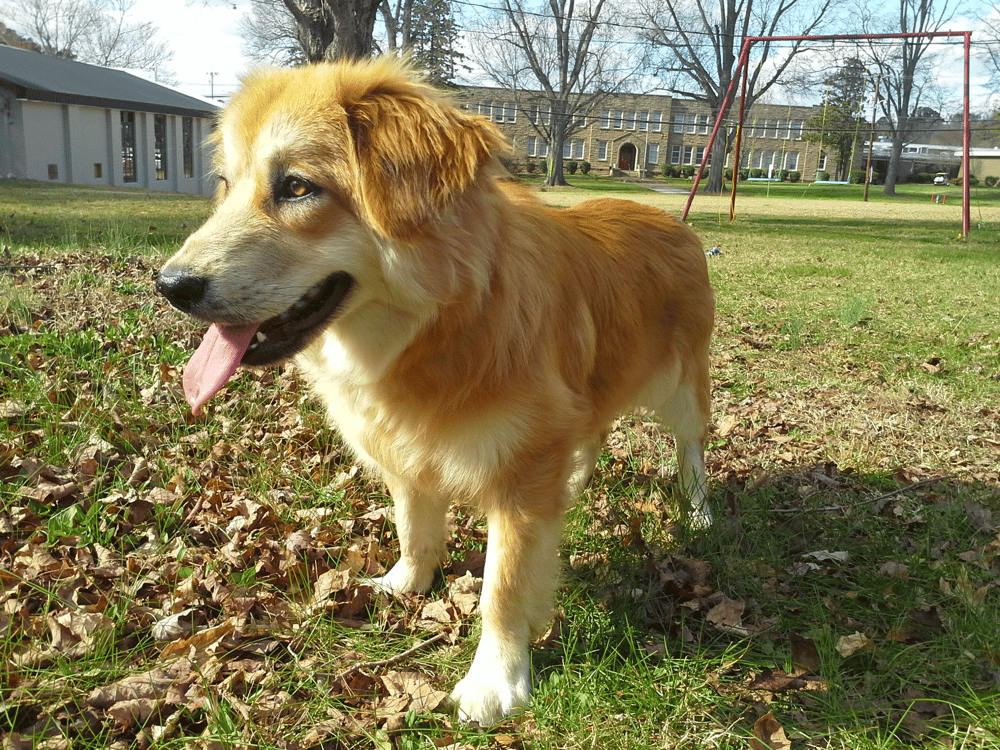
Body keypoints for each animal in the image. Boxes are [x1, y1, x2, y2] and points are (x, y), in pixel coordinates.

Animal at [158, 58, 712, 728]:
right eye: (223, 183)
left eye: (296, 187)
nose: (170, 286)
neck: (438, 326)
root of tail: (676, 221)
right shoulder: (406, 450)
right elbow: (413, 527)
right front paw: (403, 586)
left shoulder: (521, 475)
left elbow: (503, 584)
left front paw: (495, 679)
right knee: (594, 433)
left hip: (680, 386)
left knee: (691, 448)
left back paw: (700, 510)